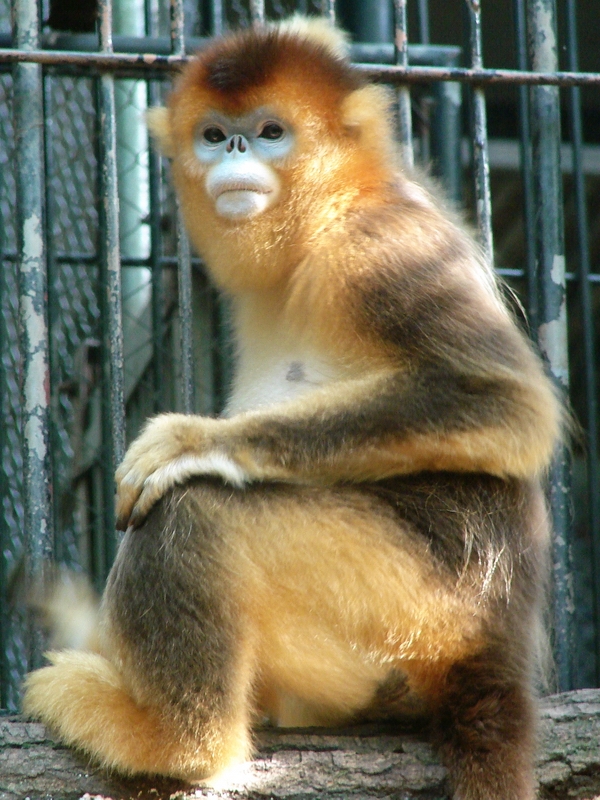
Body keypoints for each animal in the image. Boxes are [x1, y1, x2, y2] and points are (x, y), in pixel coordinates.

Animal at [23, 16, 562, 800]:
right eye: (215, 134)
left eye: (271, 131)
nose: (238, 152)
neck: (319, 224)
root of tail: (495, 651)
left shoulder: (382, 248)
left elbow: (509, 405)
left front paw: (196, 441)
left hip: (412, 608)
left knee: (195, 510)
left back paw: (171, 741)